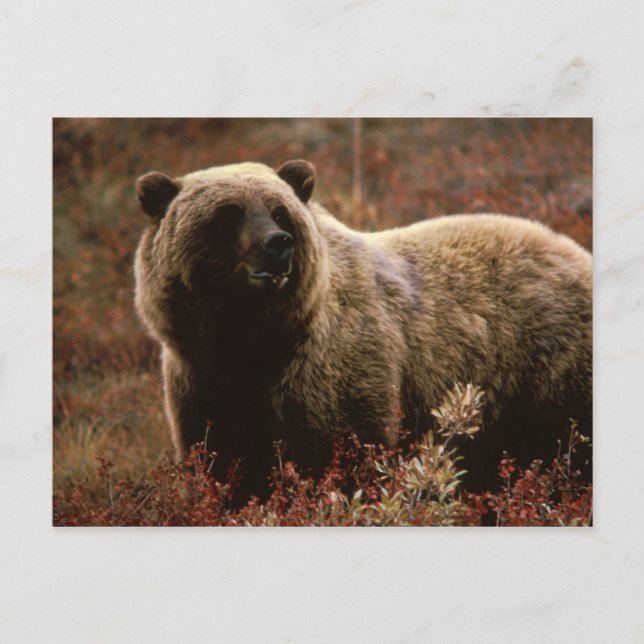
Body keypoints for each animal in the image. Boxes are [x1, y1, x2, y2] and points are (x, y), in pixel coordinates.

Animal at [134, 160, 592, 498]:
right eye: (228, 214)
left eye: (280, 212)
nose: (278, 244)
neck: (251, 340)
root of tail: (575, 250)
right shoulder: (201, 381)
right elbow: (222, 461)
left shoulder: (328, 371)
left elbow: (343, 455)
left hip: (547, 373)